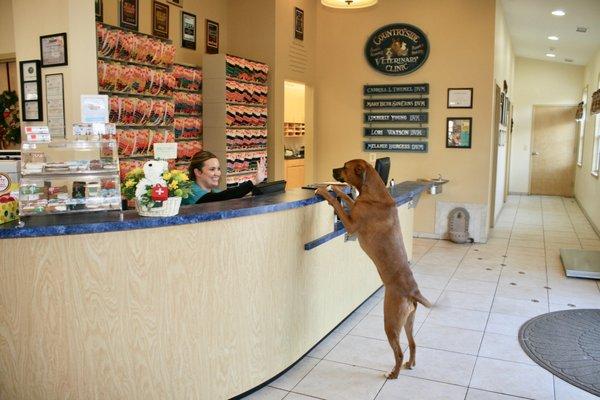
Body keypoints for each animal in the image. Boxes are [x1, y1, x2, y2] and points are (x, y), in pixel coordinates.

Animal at [316, 159, 428, 378]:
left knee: (399, 351)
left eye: (345, 166)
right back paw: (410, 364)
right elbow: (347, 198)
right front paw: (337, 189)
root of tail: (413, 292)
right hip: (408, 322)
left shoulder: (351, 225)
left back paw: (393, 374)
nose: (332, 170)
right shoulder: (356, 205)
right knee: (413, 344)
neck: (374, 193)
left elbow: (338, 204)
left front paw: (325, 191)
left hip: (391, 322)